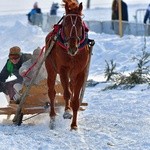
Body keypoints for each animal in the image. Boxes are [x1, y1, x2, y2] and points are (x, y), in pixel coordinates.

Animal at [44, 0, 91, 129]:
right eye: (65, 25)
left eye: (80, 25)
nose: (72, 47)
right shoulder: (63, 70)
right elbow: (67, 93)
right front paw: (67, 111)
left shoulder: (80, 72)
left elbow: (75, 99)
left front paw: (74, 125)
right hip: (51, 69)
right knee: (52, 92)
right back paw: (52, 117)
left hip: (73, 75)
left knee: (71, 85)